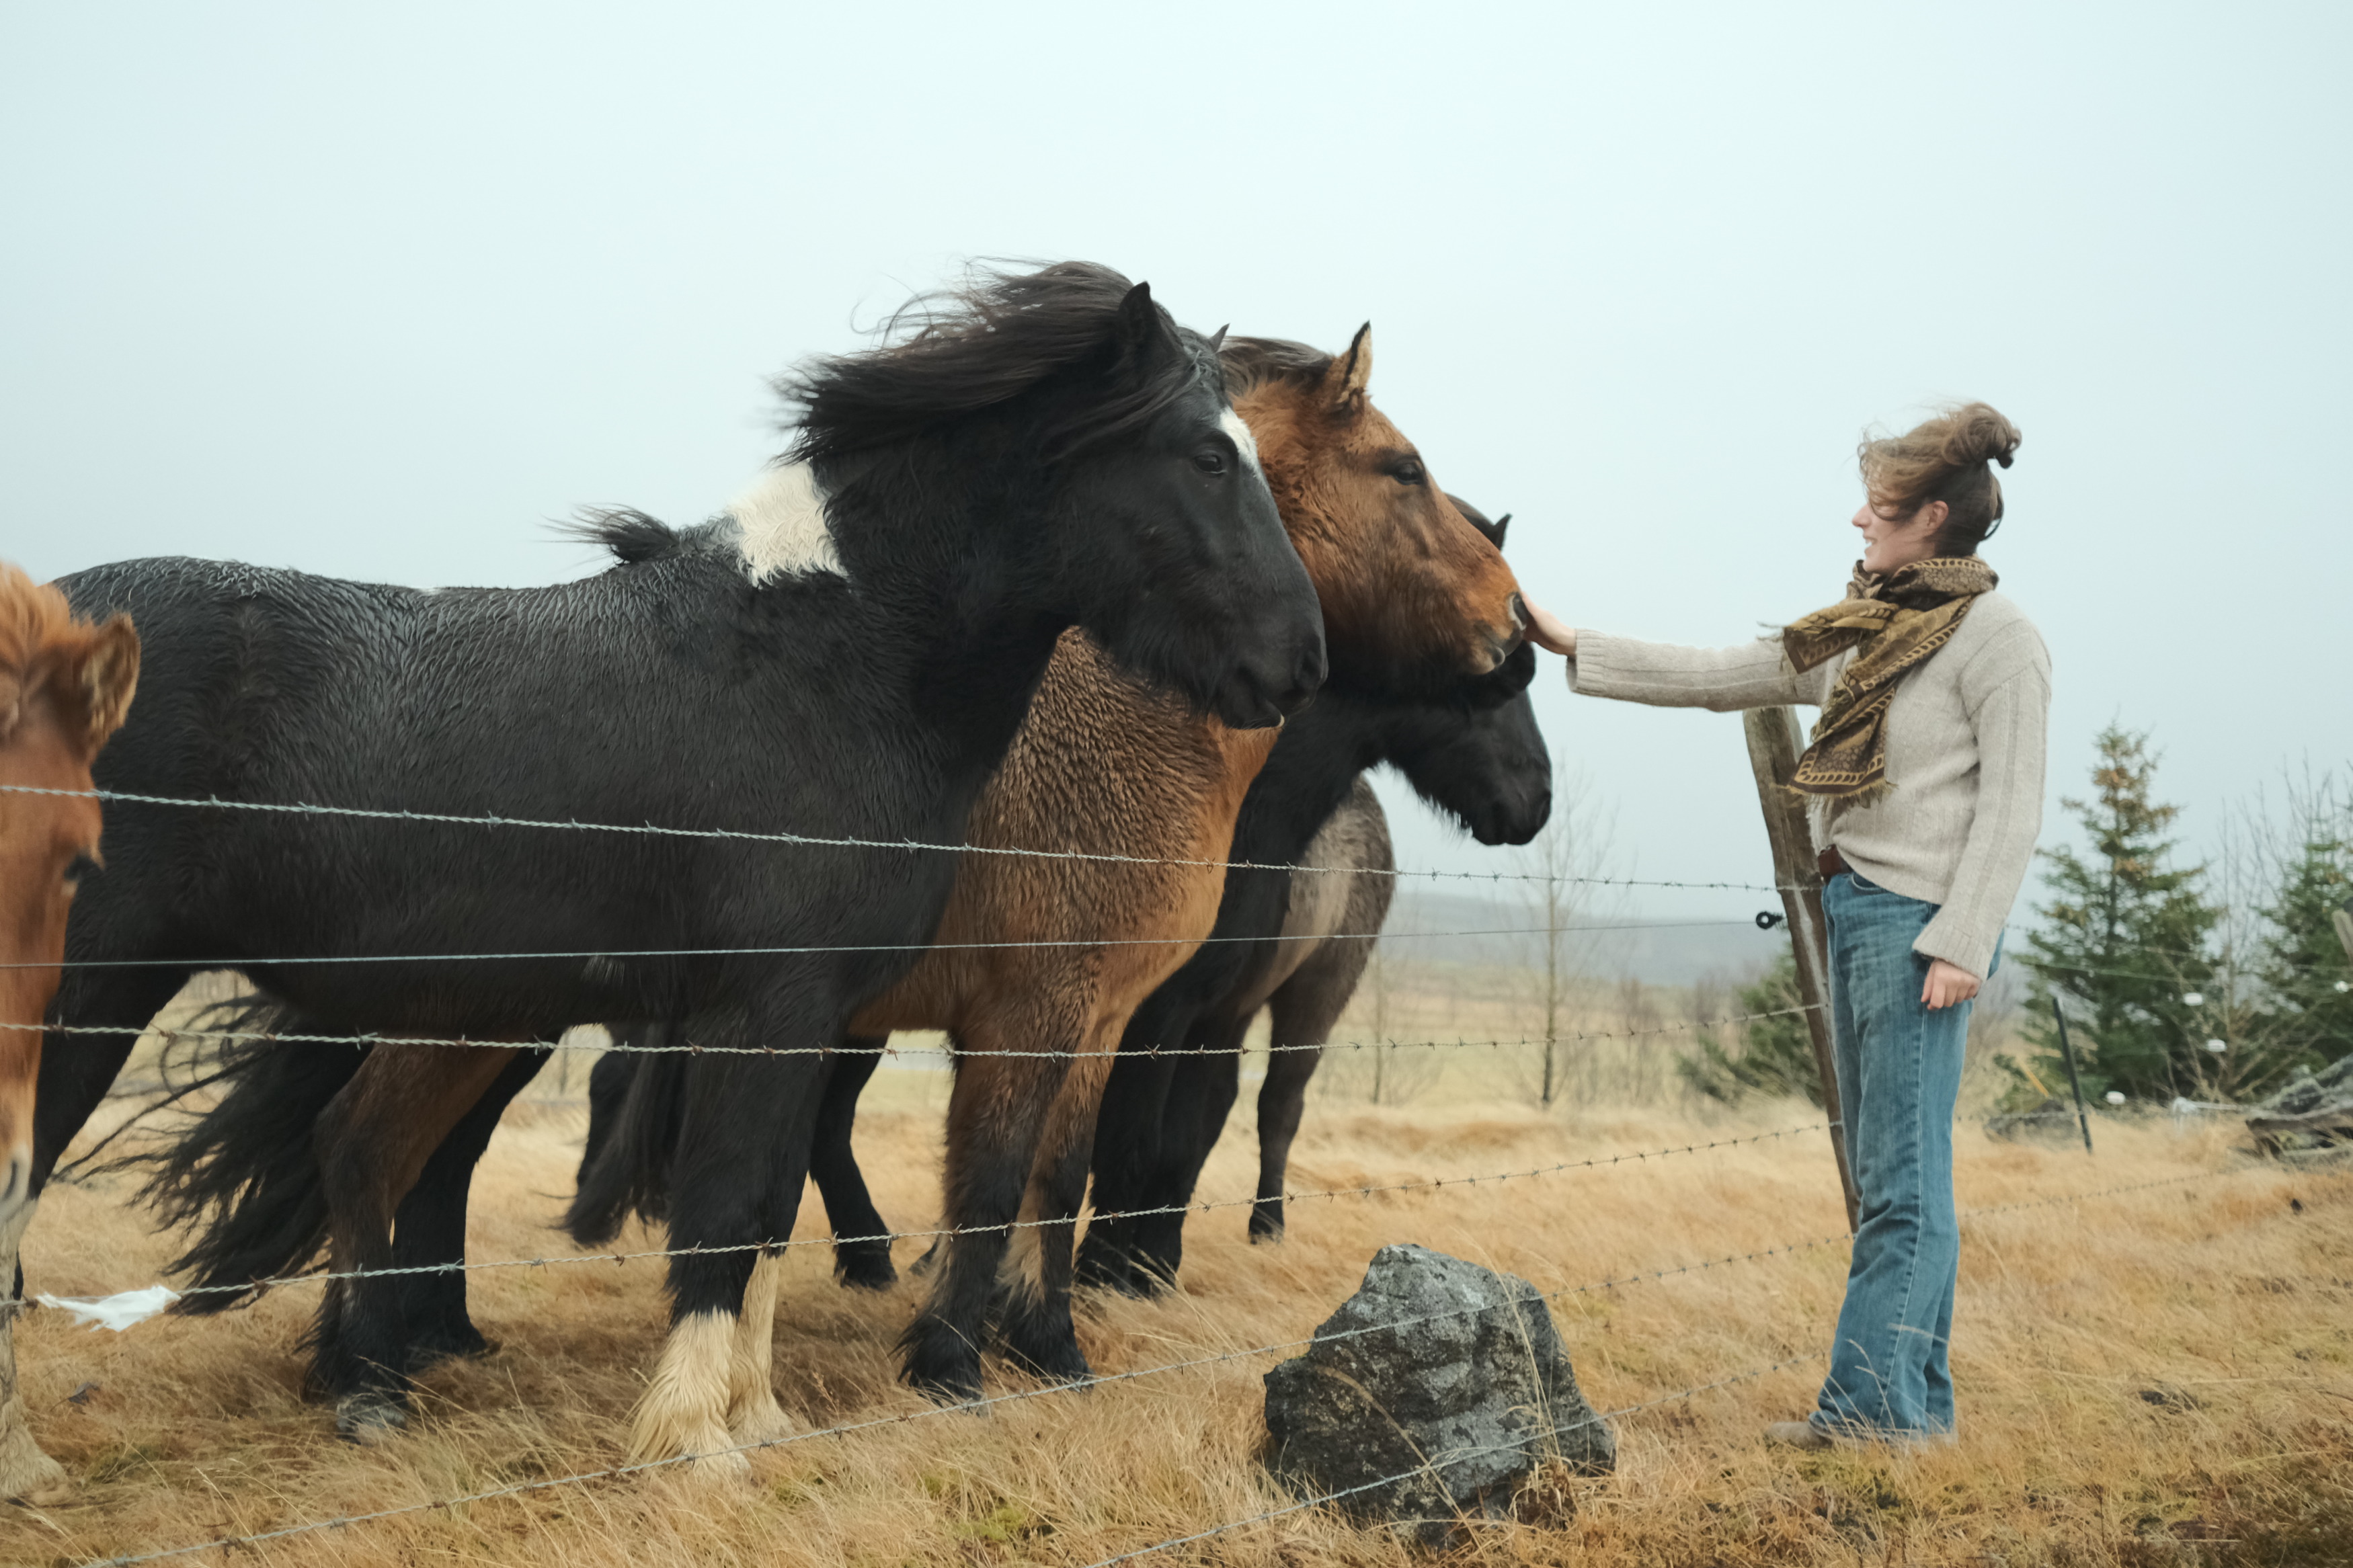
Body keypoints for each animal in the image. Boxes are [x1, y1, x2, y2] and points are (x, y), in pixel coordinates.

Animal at [29, 262, 1332, 1478]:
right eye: (1206, 457)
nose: (1302, 661)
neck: (826, 661)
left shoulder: (813, 1017)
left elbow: (764, 1211)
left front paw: (755, 1416)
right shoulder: (767, 1006)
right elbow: (721, 1211)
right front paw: (696, 1441)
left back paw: (367, 1383)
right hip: (98, 997)